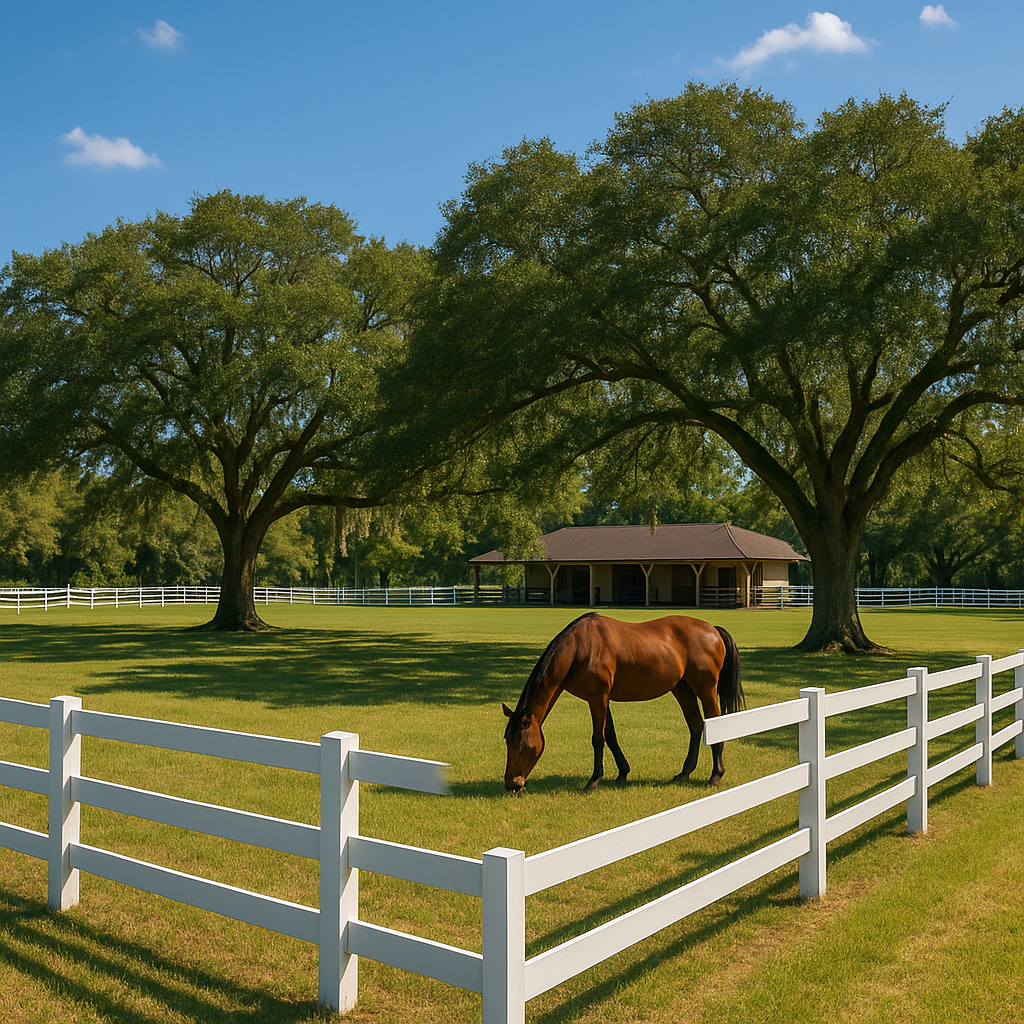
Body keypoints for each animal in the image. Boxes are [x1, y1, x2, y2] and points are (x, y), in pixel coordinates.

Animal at [502, 613, 744, 794]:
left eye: (519, 742)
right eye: (507, 740)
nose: (511, 783)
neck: (581, 647)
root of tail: (713, 630)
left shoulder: (598, 698)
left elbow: (598, 739)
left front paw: (594, 781)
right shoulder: (600, 699)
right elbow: (611, 735)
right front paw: (622, 773)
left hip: (706, 690)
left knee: (714, 724)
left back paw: (715, 775)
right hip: (682, 689)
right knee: (695, 726)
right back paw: (683, 773)